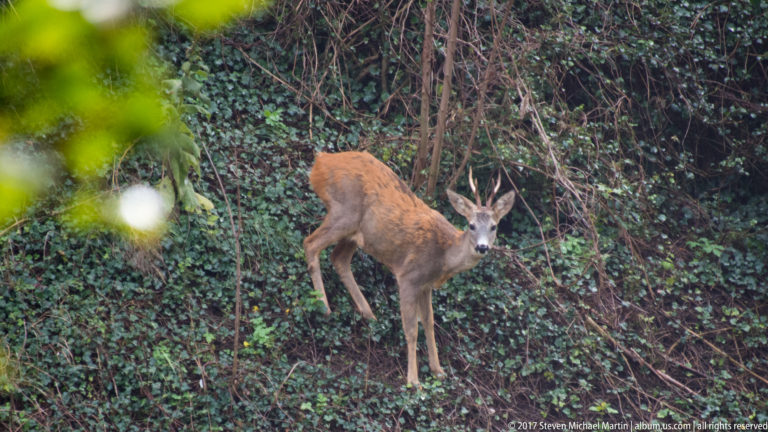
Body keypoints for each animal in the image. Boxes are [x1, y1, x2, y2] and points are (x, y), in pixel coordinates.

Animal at [303, 151, 516, 387]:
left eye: (494, 226)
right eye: (471, 225)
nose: (482, 247)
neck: (442, 257)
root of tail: (320, 162)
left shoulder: (426, 285)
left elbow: (430, 323)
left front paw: (438, 370)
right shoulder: (408, 276)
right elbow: (412, 329)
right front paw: (413, 380)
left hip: (356, 233)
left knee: (338, 258)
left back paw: (369, 314)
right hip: (343, 213)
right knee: (310, 244)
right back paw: (324, 307)